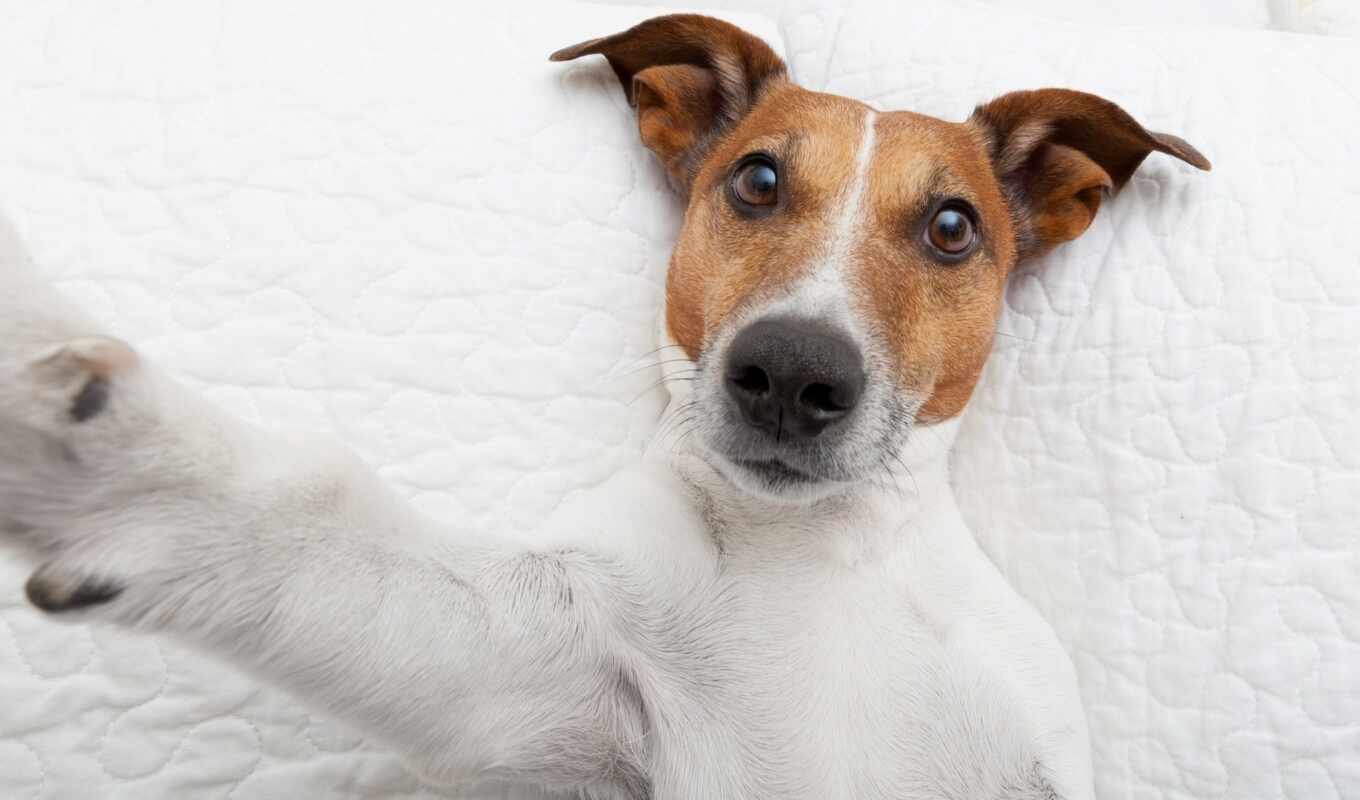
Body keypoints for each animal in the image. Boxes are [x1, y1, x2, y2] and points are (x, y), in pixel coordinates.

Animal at [0, 12, 1213, 800]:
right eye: (756, 180)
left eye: (953, 226)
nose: (790, 372)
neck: (815, 556)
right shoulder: (540, 668)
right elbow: (313, 526)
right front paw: (89, 436)